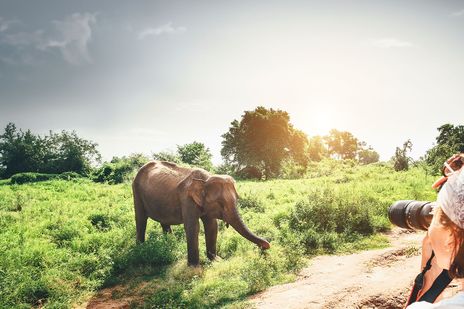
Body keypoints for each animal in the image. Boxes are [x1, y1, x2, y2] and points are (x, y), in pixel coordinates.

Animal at [130, 160, 270, 264]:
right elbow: (193, 227)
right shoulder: (187, 199)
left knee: (164, 221)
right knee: (141, 219)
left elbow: (212, 226)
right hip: (136, 189)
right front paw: (194, 267)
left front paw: (216, 260)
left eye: (237, 198)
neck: (206, 180)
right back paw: (140, 249)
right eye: (220, 203)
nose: (265, 247)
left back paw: (169, 244)